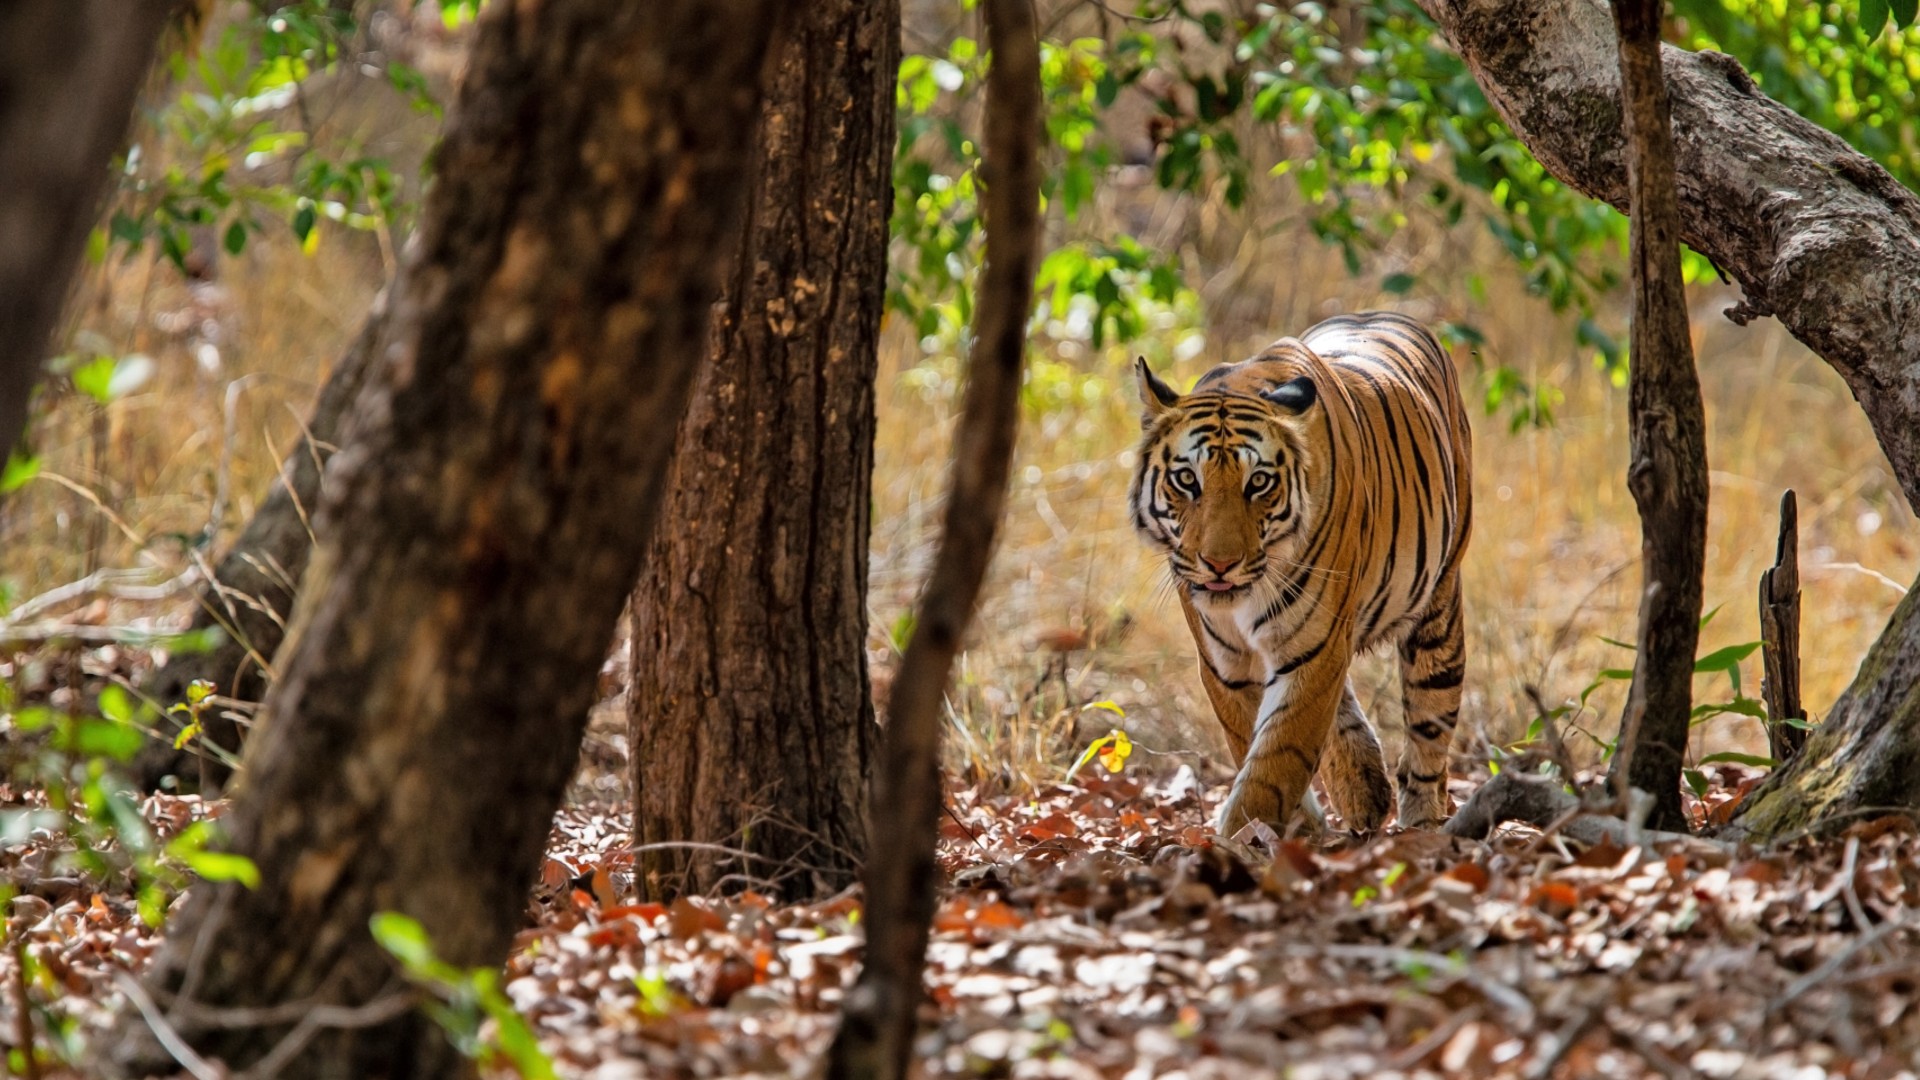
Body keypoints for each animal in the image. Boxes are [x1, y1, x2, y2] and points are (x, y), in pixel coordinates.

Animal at [1121, 309, 1466, 834]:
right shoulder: (1227, 666)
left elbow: (1277, 760)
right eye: (1186, 479)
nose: (1220, 564)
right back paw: (1363, 790)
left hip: (1437, 611)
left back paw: (1420, 823)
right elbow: (1259, 745)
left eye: (1259, 483)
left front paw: (1244, 836)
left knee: (1428, 730)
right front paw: (1290, 829)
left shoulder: (1314, 649)